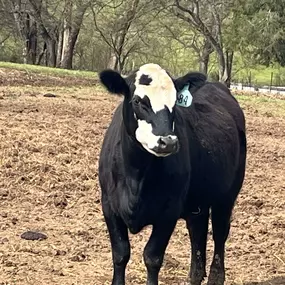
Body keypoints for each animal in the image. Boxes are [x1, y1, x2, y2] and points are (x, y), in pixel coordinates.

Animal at [98, 62, 246, 284]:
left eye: (175, 102)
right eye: (137, 101)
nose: (167, 141)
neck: (135, 176)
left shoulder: (169, 212)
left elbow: (152, 257)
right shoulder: (109, 206)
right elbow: (120, 254)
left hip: (227, 196)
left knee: (220, 232)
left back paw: (215, 276)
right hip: (198, 201)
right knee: (198, 233)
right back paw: (195, 275)